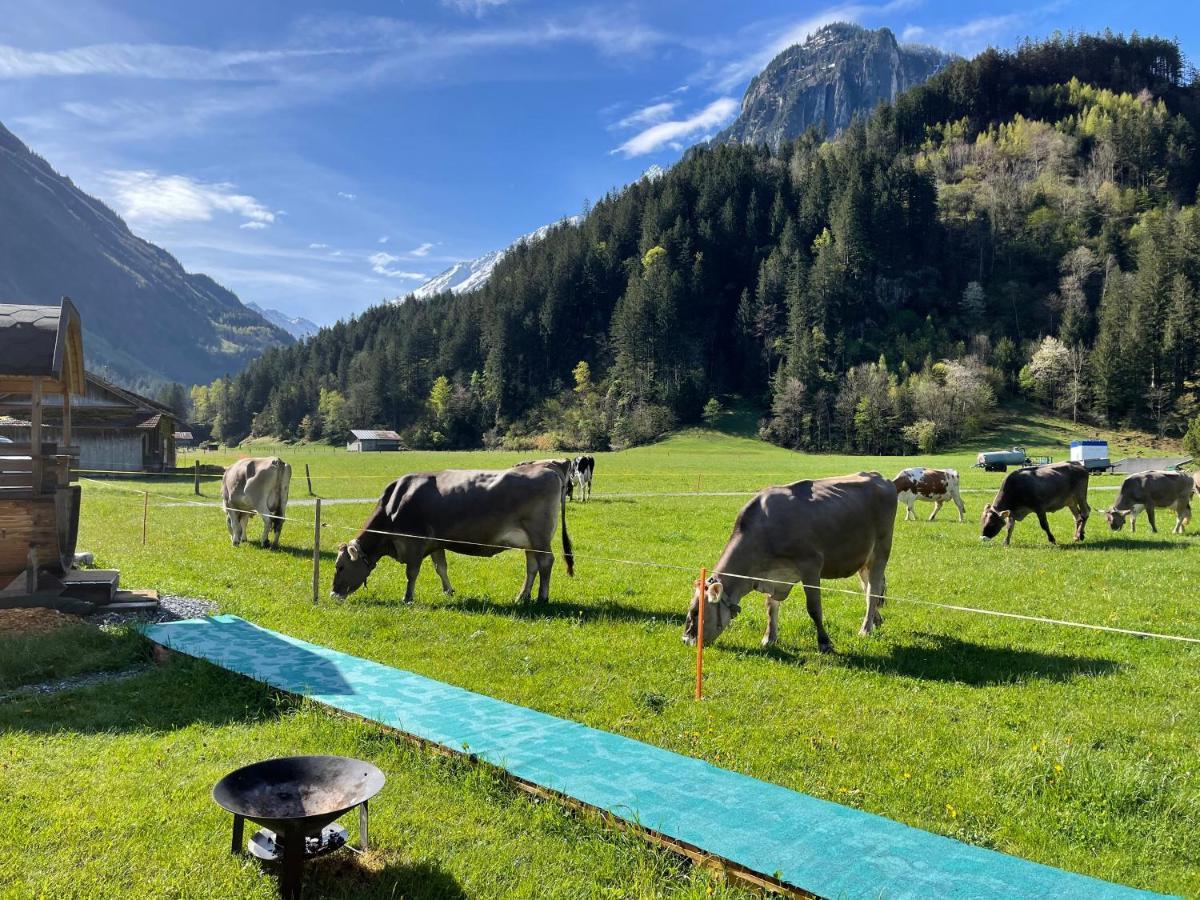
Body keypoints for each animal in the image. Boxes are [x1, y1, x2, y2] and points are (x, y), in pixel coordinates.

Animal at [328, 465, 571, 607]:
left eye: (340, 567)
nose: (333, 594)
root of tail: (549, 468)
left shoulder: (415, 543)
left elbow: (412, 573)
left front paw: (407, 598)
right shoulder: (436, 543)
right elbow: (440, 568)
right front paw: (448, 591)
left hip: (539, 536)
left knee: (546, 562)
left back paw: (542, 597)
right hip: (529, 541)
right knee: (532, 566)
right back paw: (522, 596)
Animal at [681, 472, 897, 657]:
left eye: (696, 612)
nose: (685, 640)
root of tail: (879, 477)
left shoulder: (811, 566)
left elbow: (814, 608)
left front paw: (824, 643)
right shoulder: (774, 576)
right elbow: (770, 607)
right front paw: (769, 638)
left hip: (881, 550)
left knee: (873, 590)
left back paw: (865, 629)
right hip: (863, 559)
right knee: (868, 588)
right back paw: (876, 620)